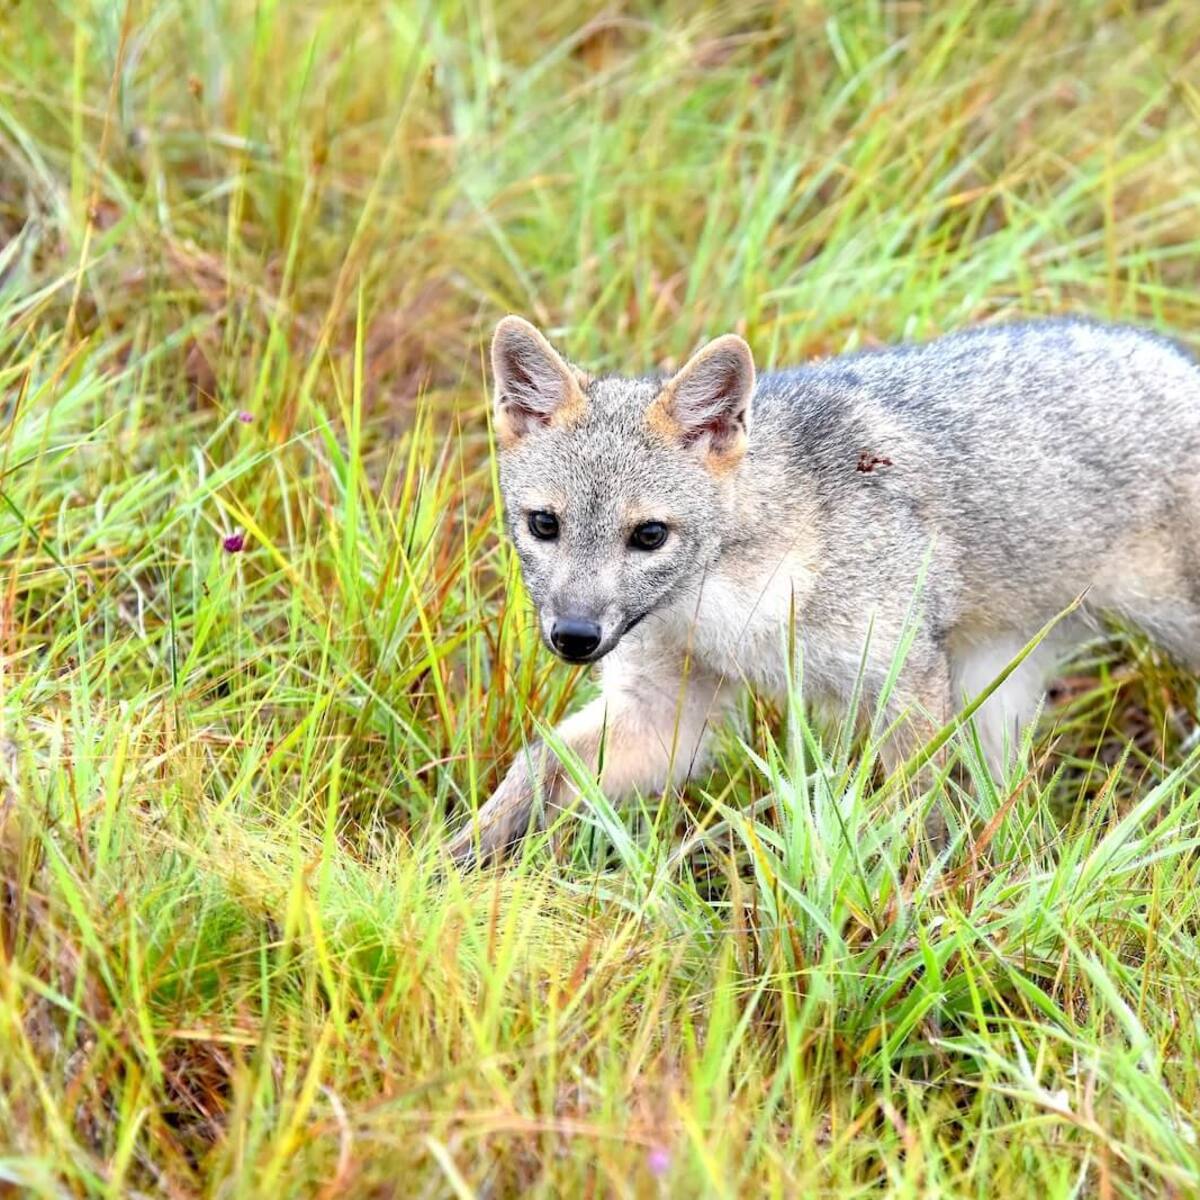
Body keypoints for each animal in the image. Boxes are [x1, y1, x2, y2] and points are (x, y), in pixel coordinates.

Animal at [447, 314, 1200, 864]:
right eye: (544, 525)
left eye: (650, 535)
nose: (573, 638)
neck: (732, 602)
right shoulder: (669, 715)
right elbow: (535, 766)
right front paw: (444, 875)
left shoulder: (905, 688)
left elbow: (912, 815)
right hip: (995, 691)